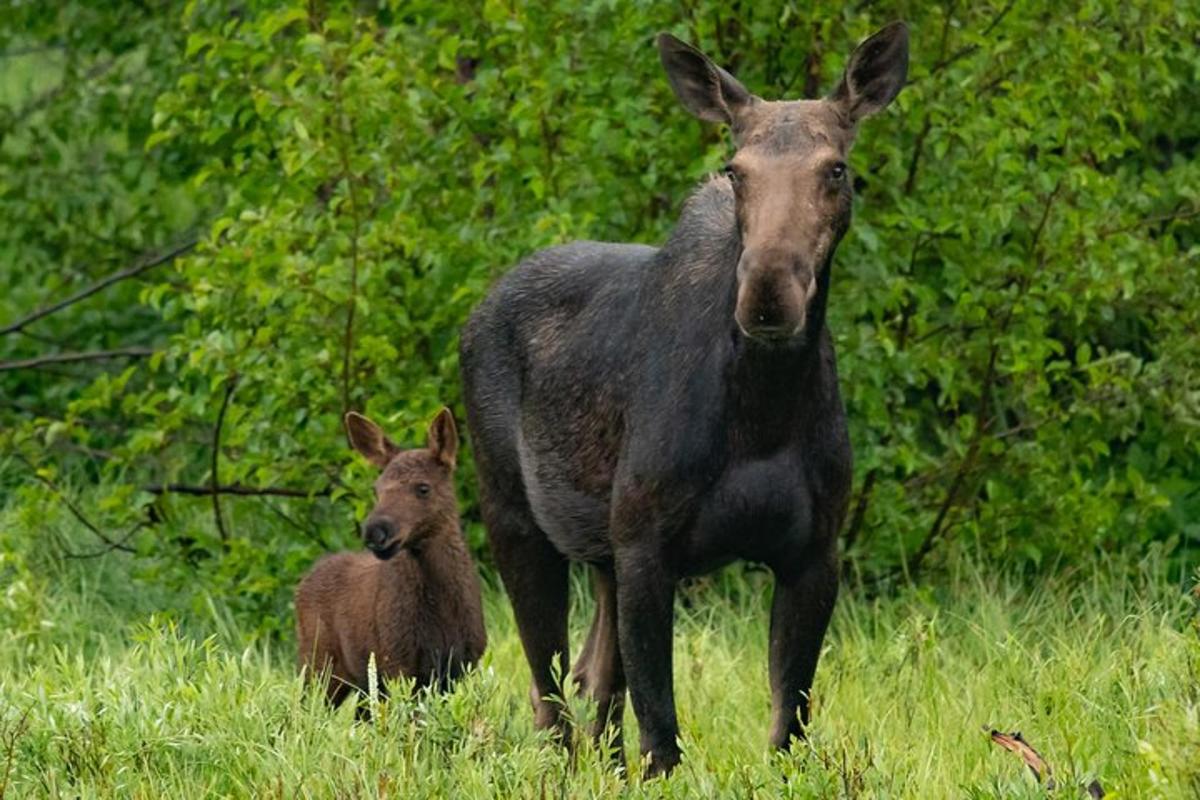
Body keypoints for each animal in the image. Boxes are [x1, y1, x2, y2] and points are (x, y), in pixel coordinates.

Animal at [296, 407, 487, 705]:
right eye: (377, 489)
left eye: (423, 487)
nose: (375, 531)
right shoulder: (397, 663)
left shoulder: (465, 663)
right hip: (319, 665)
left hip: (360, 682)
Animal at [460, 23, 907, 777]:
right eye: (735, 169)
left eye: (836, 169)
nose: (767, 294)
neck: (764, 411)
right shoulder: (647, 546)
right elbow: (661, 735)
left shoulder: (814, 551)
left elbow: (787, 725)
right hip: (514, 515)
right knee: (549, 695)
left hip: (600, 551)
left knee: (593, 681)